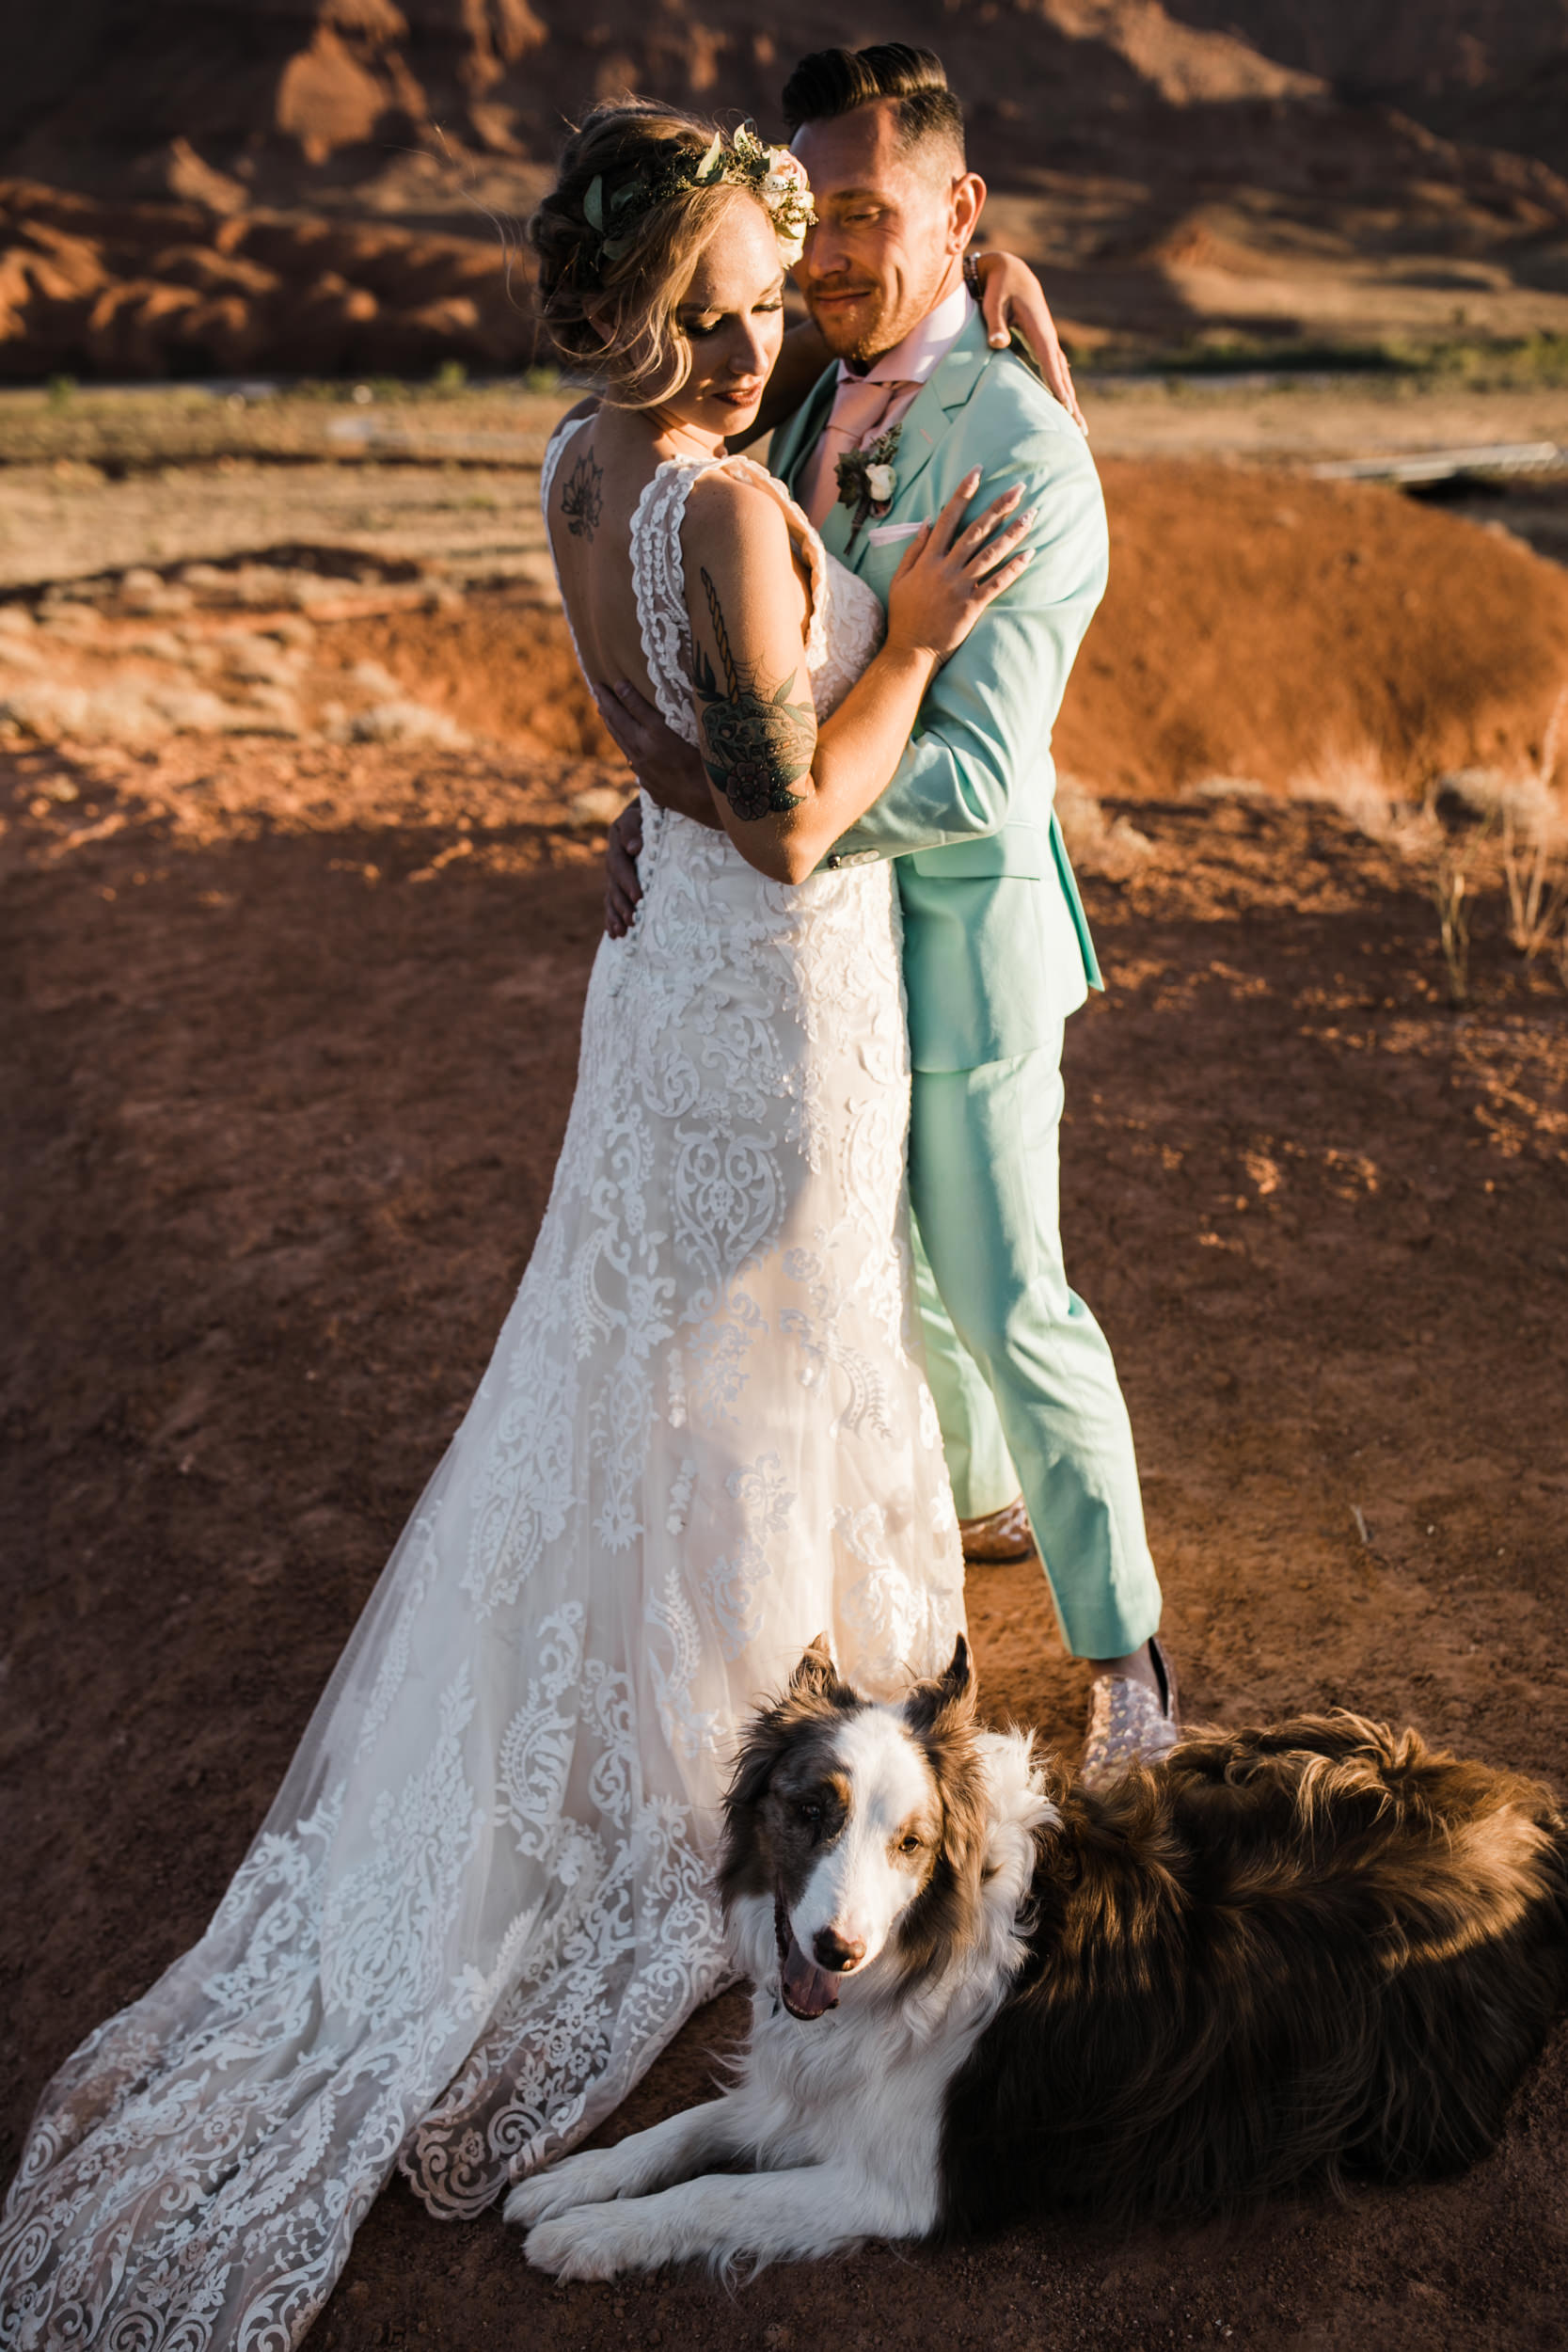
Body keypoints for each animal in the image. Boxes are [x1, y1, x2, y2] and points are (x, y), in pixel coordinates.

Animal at [510, 1637, 1560, 2277]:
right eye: (809, 1809)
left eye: (911, 1843)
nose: (835, 1951)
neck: (917, 1955)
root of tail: (1519, 1818)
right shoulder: (807, 2083)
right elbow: (680, 2130)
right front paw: (569, 2181)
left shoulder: (900, 2185)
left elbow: (718, 2192)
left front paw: (592, 2234)